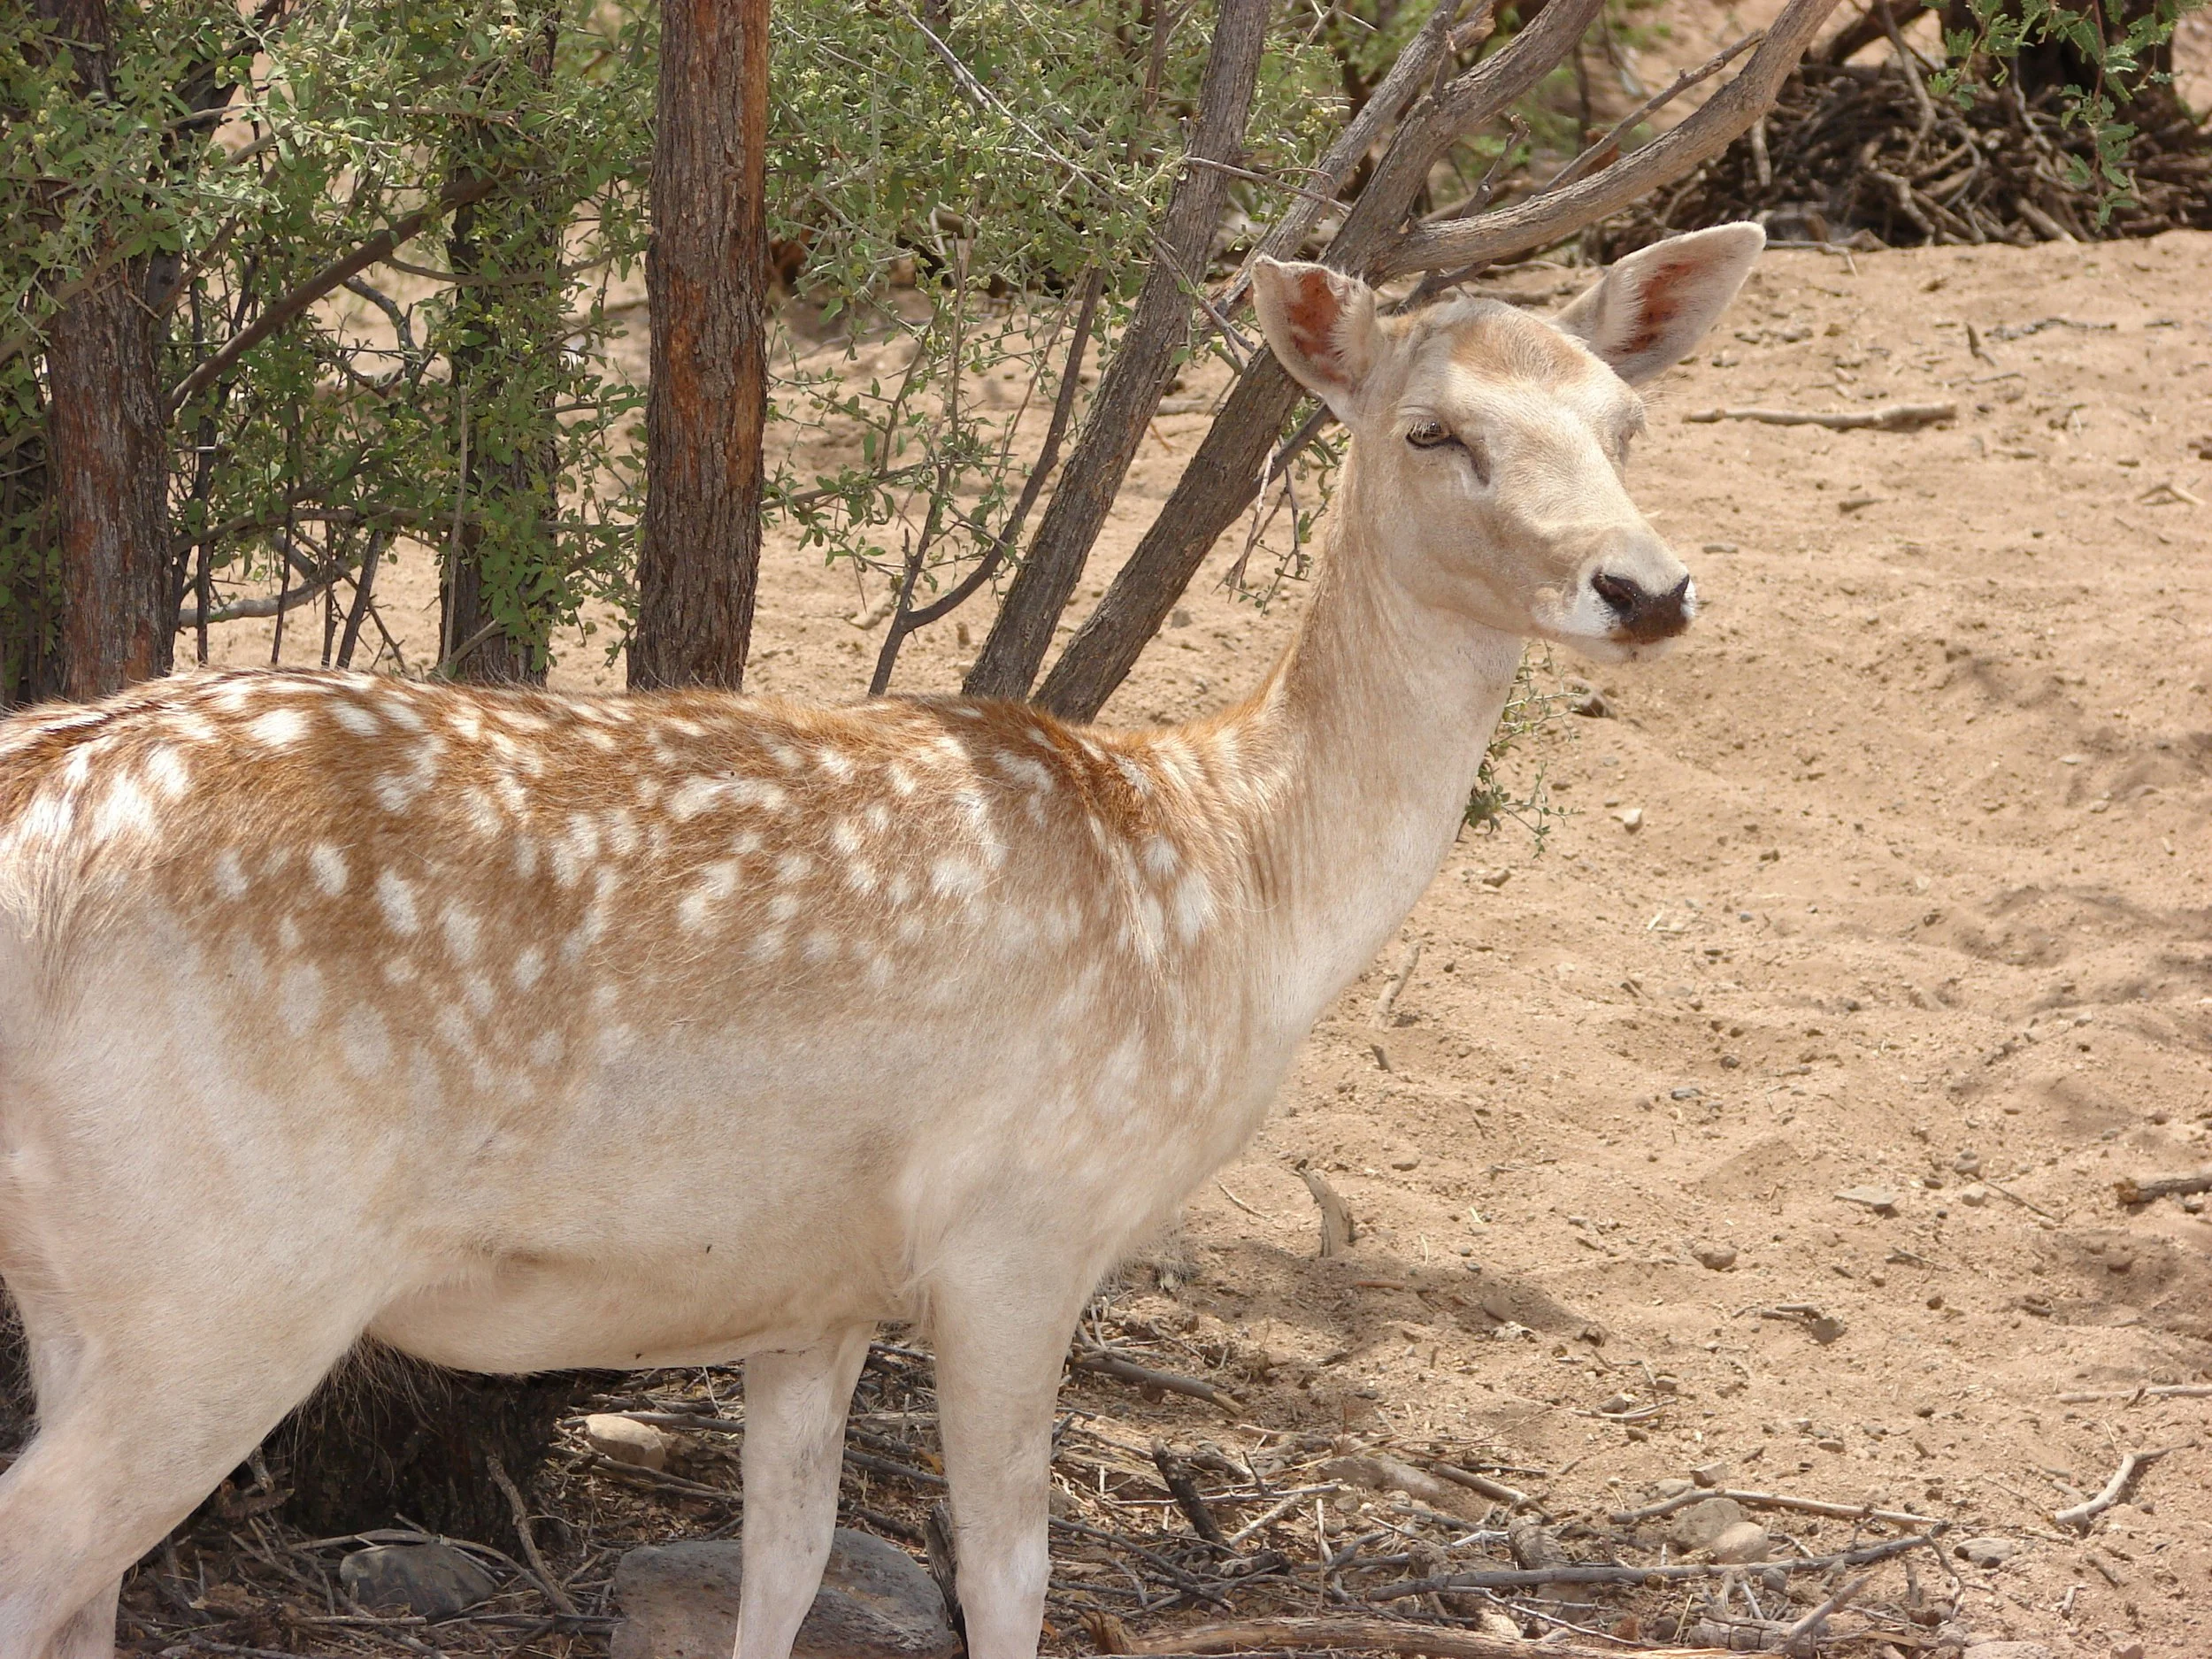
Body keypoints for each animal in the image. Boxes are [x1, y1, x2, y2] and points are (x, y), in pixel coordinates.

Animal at [0, 222, 1761, 1659]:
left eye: (1627, 422)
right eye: (1432, 430)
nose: (1648, 586)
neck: (1231, 885)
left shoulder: (813, 1287)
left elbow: (786, 1560)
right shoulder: (1022, 1223)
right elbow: (1009, 1574)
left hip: (87, 1278)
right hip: (232, 1266)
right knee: (41, 1553)